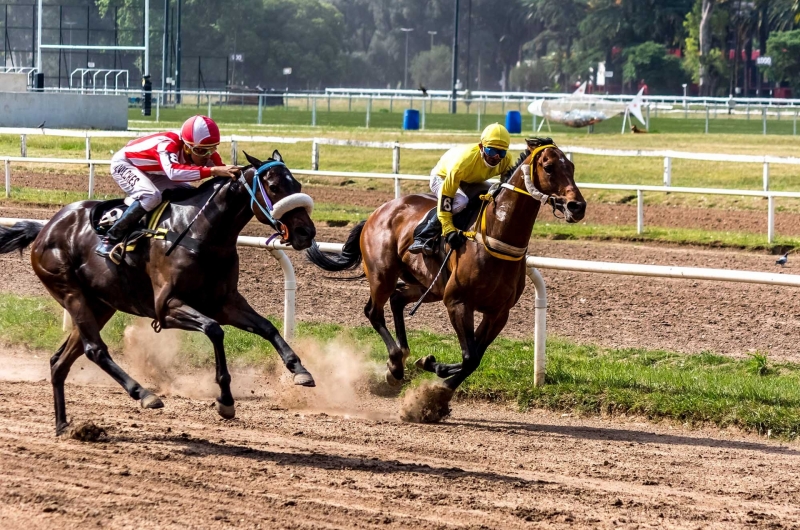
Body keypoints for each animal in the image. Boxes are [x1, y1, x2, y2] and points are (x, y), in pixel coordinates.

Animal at [0, 148, 316, 434]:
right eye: (274, 187)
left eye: (298, 186)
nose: (307, 233)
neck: (202, 233)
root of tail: (45, 228)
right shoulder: (166, 307)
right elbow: (214, 330)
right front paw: (225, 400)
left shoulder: (224, 302)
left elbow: (267, 327)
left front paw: (300, 371)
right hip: (71, 292)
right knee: (94, 350)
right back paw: (144, 394)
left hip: (101, 304)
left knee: (60, 361)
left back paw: (64, 426)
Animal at [310, 137, 584, 408]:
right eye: (548, 167)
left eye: (571, 166)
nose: (577, 206)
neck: (494, 237)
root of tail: (378, 212)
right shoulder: (458, 302)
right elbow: (469, 357)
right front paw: (432, 395)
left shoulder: (498, 312)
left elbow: (474, 357)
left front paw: (432, 370)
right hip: (383, 275)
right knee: (374, 311)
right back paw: (395, 365)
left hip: (428, 285)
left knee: (397, 299)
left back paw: (403, 357)